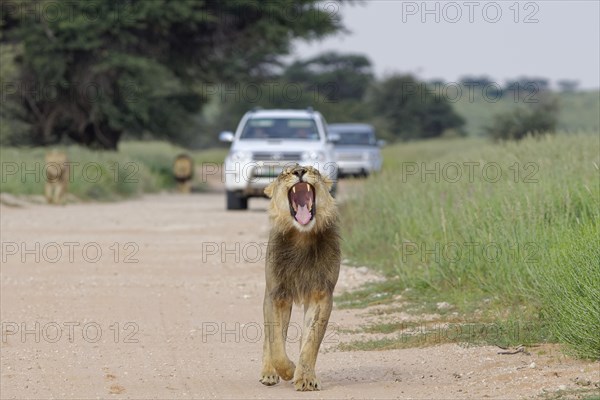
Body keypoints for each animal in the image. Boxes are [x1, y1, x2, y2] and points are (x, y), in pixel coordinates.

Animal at [260, 163, 340, 390]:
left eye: (313, 170)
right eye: (285, 173)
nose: (299, 172)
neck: (302, 237)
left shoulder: (321, 295)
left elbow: (311, 341)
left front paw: (305, 378)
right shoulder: (276, 295)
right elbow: (276, 344)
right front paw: (287, 370)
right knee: (268, 340)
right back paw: (268, 373)